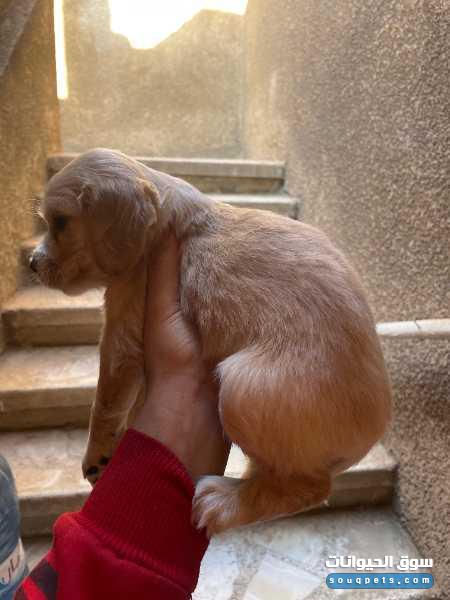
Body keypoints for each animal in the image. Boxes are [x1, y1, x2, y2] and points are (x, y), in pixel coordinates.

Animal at [30, 148, 391, 535]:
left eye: (61, 222)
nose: (32, 263)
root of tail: (368, 439)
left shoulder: (125, 322)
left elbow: (105, 402)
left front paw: (97, 456)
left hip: (243, 389)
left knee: (307, 487)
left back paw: (222, 503)